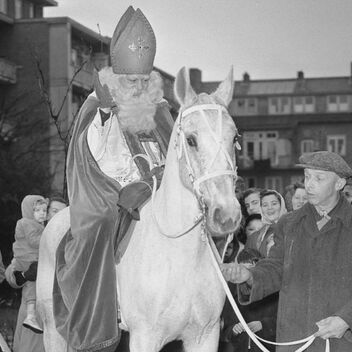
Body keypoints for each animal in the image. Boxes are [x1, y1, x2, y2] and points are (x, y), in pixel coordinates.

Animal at [37, 66, 242, 352]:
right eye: (191, 140)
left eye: (234, 138)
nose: (227, 215)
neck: (180, 253)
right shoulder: (145, 336)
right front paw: (105, 107)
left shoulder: (205, 335)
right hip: (54, 329)